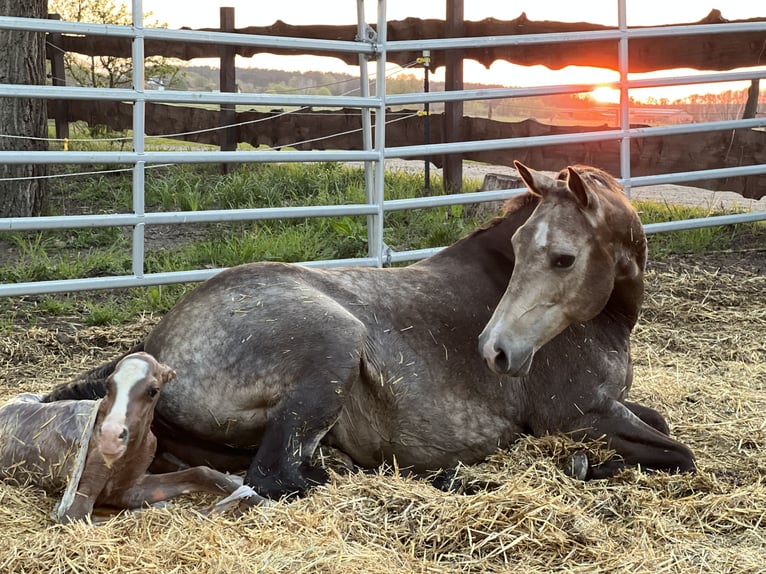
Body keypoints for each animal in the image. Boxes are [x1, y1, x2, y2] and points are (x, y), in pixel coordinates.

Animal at [0, 352, 267, 522]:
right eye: (108, 385)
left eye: (153, 390)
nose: (110, 436)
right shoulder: (78, 501)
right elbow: (89, 516)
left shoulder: (128, 488)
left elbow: (200, 473)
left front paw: (259, 500)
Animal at [44, 162, 695, 499]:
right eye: (519, 248)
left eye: (562, 258)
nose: (496, 352)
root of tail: (157, 347)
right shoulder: (577, 414)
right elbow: (678, 452)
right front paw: (584, 466)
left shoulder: (609, 406)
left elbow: (663, 428)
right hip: (336, 344)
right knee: (276, 477)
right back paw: (452, 480)